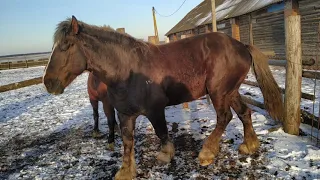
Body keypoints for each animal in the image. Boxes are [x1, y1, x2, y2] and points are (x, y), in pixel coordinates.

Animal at [42, 16, 282, 179]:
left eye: (66, 46)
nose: (48, 83)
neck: (127, 70)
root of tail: (241, 46)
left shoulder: (155, 110)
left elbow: (161, 132)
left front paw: (166, 154)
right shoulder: (124, 114)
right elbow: (127, 141)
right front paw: (126, 171)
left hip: (219, 92)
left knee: (225, 117)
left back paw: (207, 153)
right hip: (229, 91)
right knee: (244, 112)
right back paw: (249, 145)